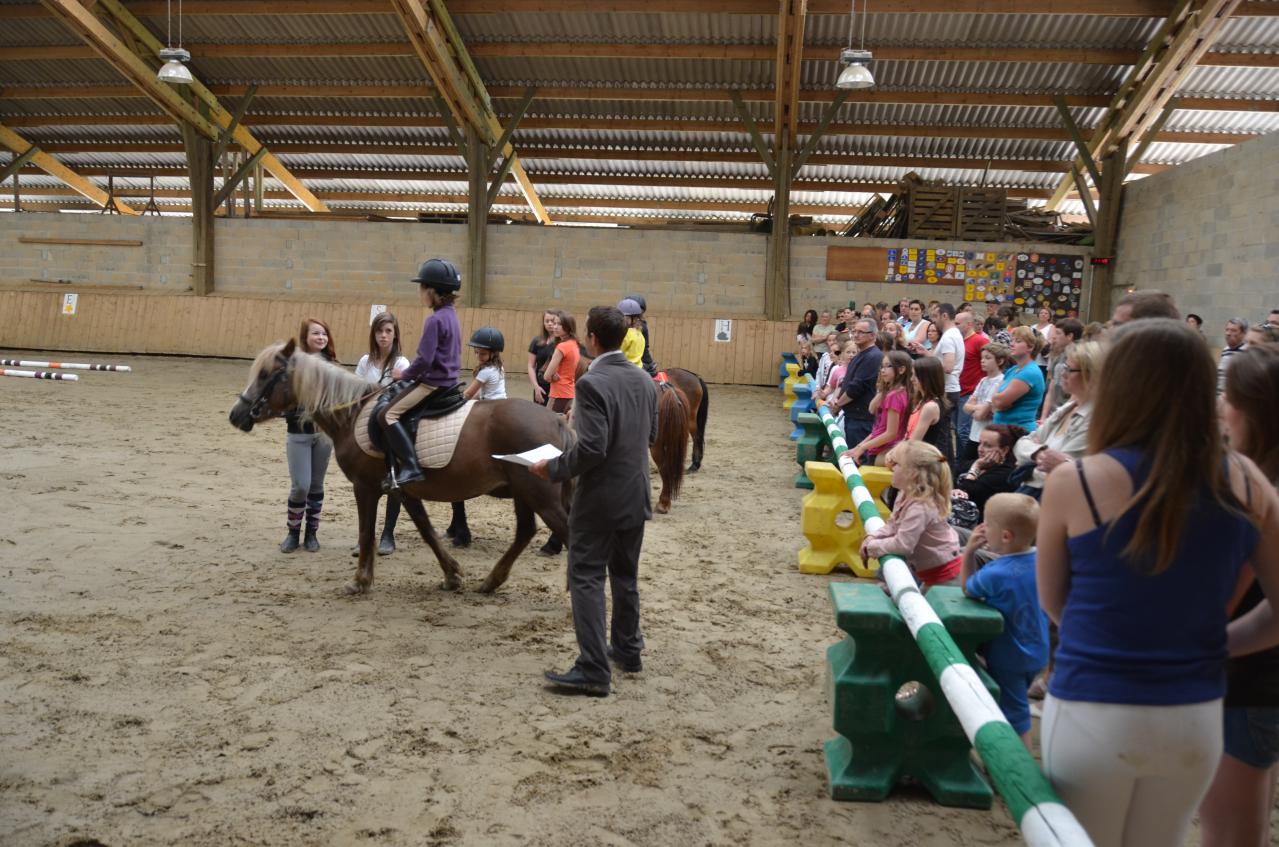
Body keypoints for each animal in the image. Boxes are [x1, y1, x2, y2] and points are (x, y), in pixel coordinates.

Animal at [227, 340, 572, 596]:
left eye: (266, 374)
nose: (236, 415)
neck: (353, 414)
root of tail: (555, 419)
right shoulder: (405, 491)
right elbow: (427, 530)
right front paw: (452, 576)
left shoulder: (364, 487)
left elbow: (366, 532)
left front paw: (360, 581)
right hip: (523, 493)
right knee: (525, 531)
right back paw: (490, 582)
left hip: (539, 495)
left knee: (563, 532)